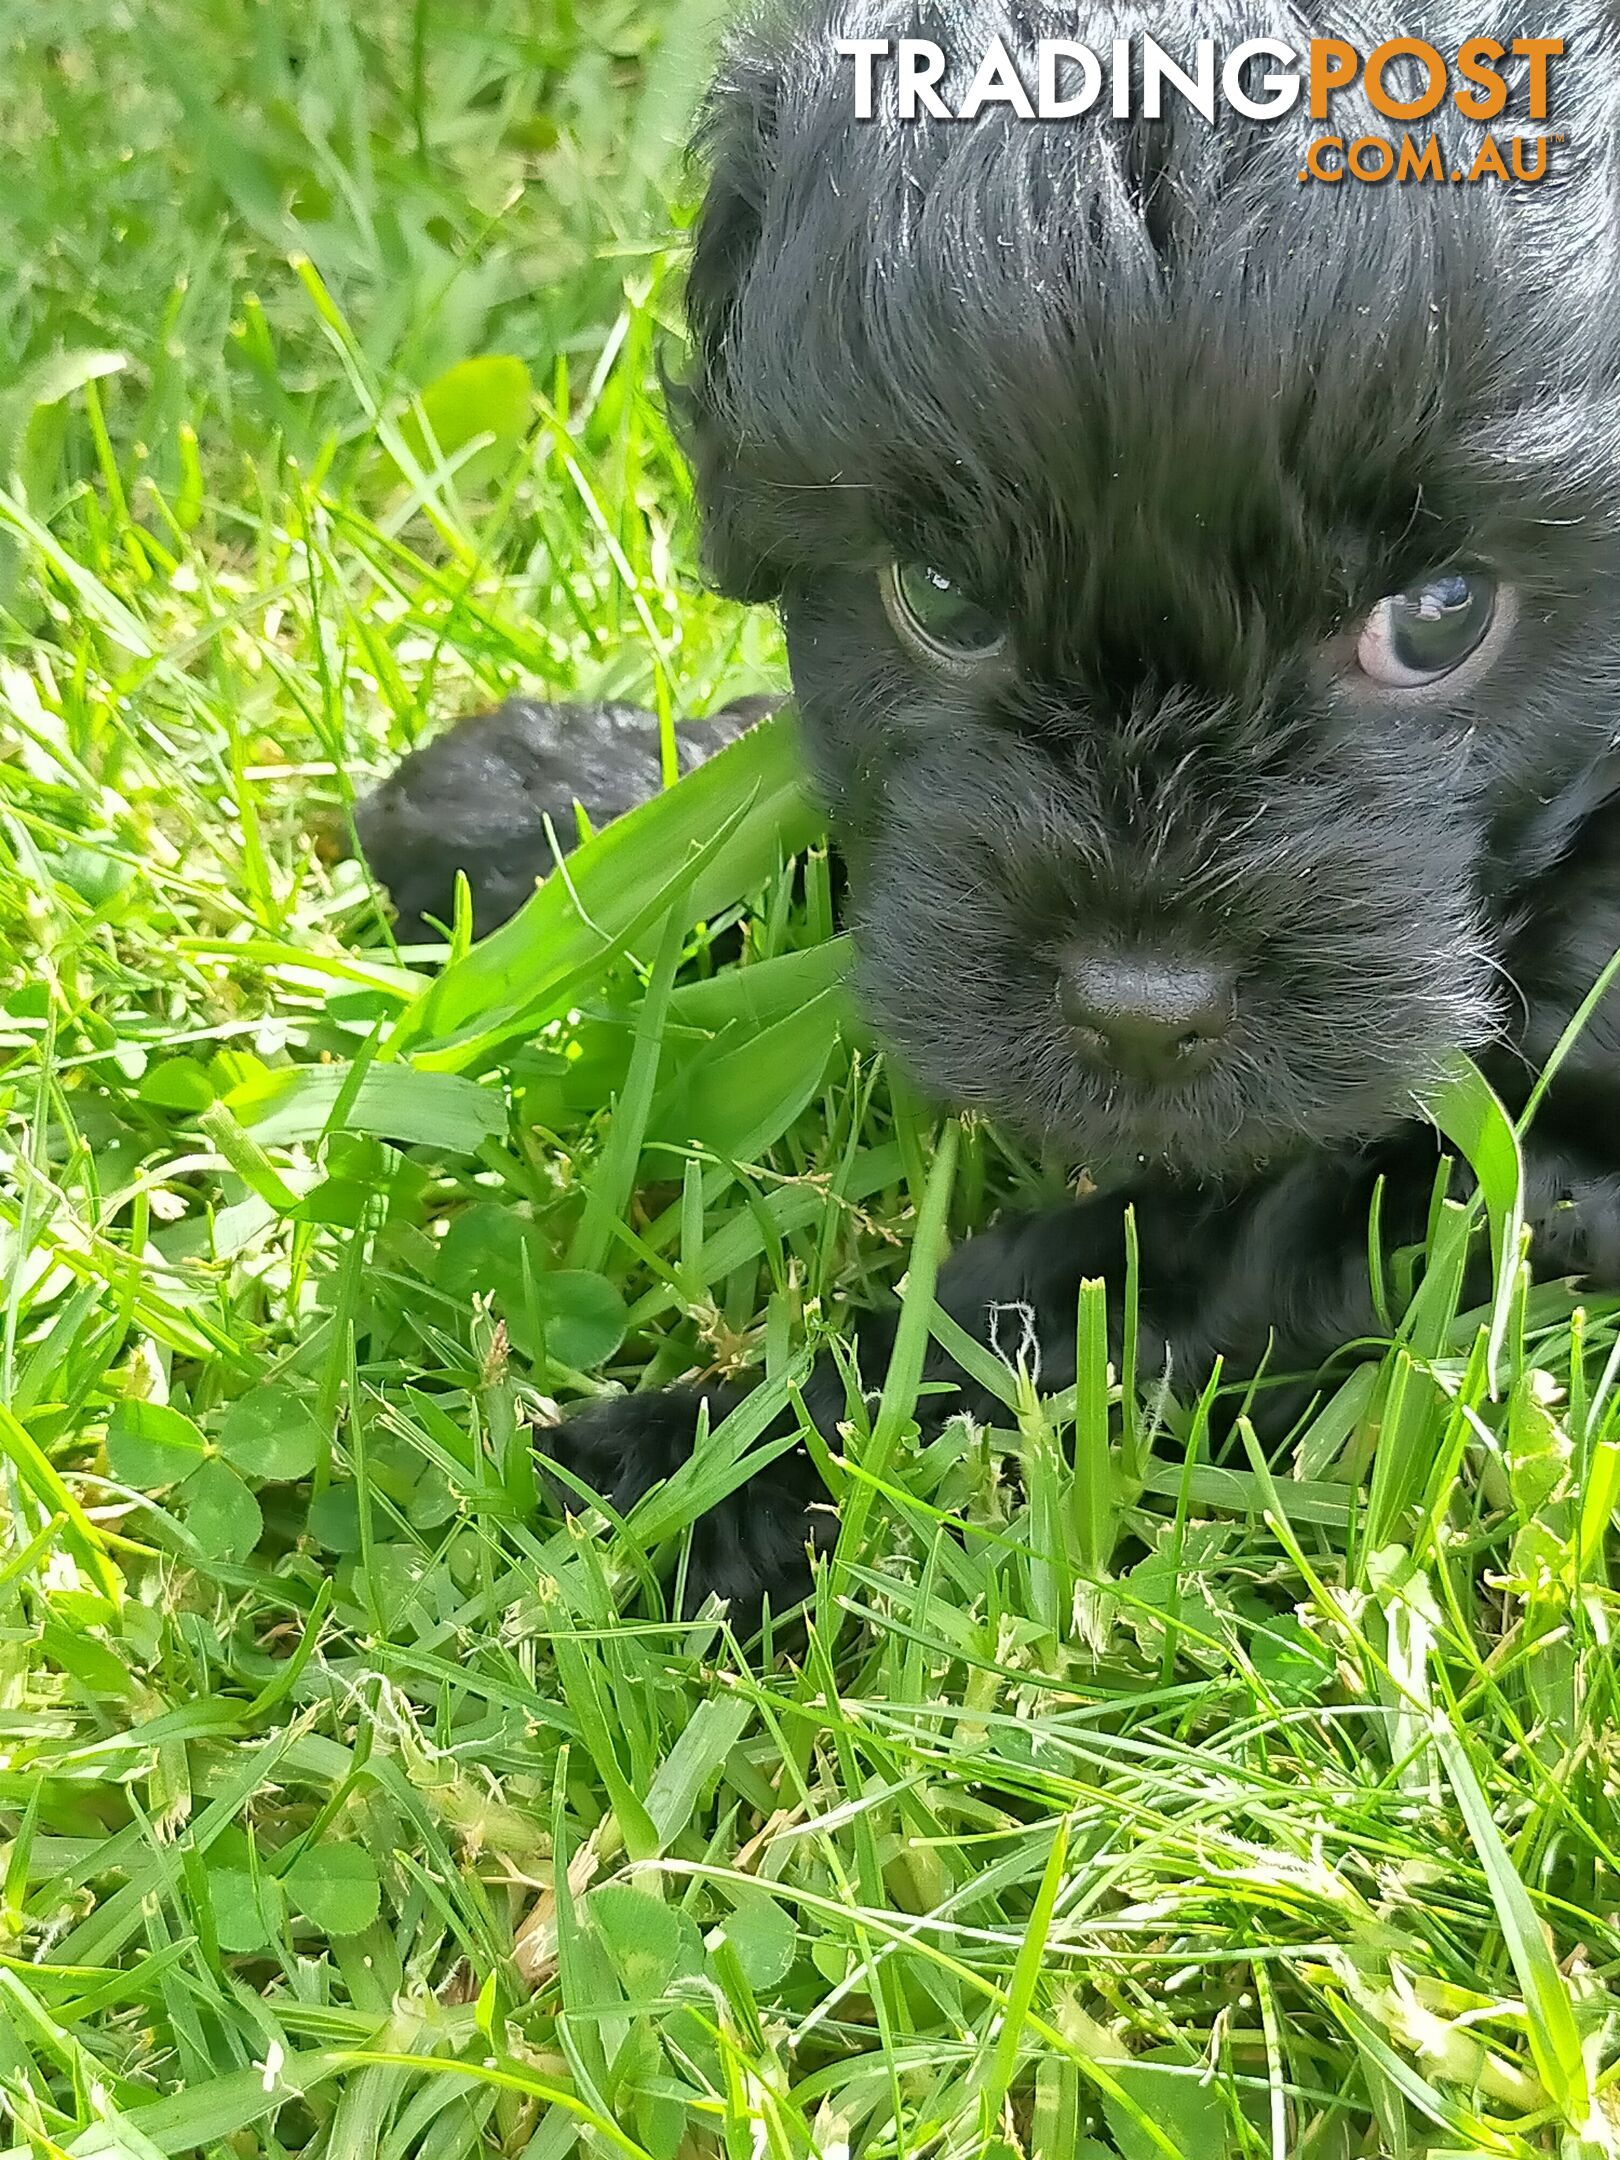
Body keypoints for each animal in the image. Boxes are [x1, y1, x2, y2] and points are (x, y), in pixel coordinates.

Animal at [360, 0, 1620, 1615]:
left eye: (1444, 616)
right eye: (943, 600)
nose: (1139, 1010)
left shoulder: (1495, 1171)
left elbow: (1084, 1297)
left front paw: (701, 1467)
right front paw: (527, 812)